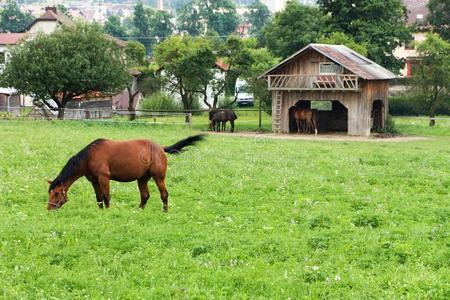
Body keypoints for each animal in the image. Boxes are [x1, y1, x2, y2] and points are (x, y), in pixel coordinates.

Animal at [46, 135, 205, 212]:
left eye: (57, 193)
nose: (49, 208)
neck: (89, 157)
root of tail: (161, 148)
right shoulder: (94, 180)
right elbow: (98, 198)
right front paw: (100, 212)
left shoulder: (104, 178)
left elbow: (106, 196)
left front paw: (108, 213)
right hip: (142, 179)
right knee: (145, 196)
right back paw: (138, 211)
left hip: (158, 177)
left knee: (164, 195)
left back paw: (165, 212)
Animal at [258, 43, 396, 136]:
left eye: (292, 110)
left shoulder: (299, 119)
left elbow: (300, 124)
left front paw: (300, 131)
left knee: (310, 124)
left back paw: (312, 132)